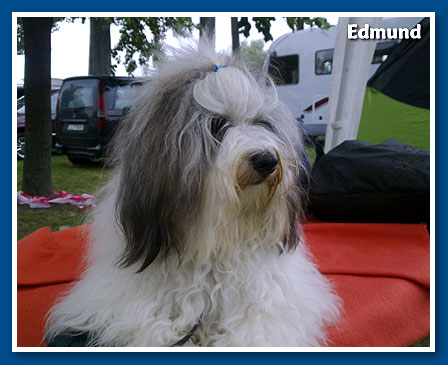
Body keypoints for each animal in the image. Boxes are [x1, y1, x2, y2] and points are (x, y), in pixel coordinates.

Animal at [44, 43, 340, 346]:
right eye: (217, 125)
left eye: (262, 123)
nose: (266, 160)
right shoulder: (122, 306)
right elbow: (151, 327)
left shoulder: (274, 304)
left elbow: (255, 330)